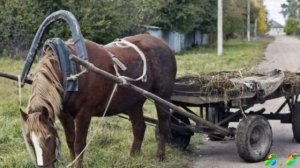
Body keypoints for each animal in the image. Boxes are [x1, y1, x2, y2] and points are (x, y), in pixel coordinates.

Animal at [19, 33, 177, 167]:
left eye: (49, 138)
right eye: (29, 140)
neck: (70, 70)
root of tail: (165, 45)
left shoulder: (84, 113)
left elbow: (79, 144)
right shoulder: (64, 114)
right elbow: (70, 141)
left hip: (162, 97)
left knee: (163, 124)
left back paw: (160, 156)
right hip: (134, 102)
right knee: (139, 127)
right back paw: (133, 157)